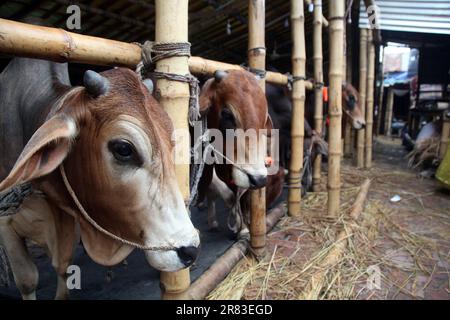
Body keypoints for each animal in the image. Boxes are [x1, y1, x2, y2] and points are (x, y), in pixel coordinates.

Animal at [0, 58, 200, 300]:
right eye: (123, 149)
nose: (190, 250)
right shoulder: (6, 223)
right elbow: (27, 280)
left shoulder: (64, 220)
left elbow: (62, 268)